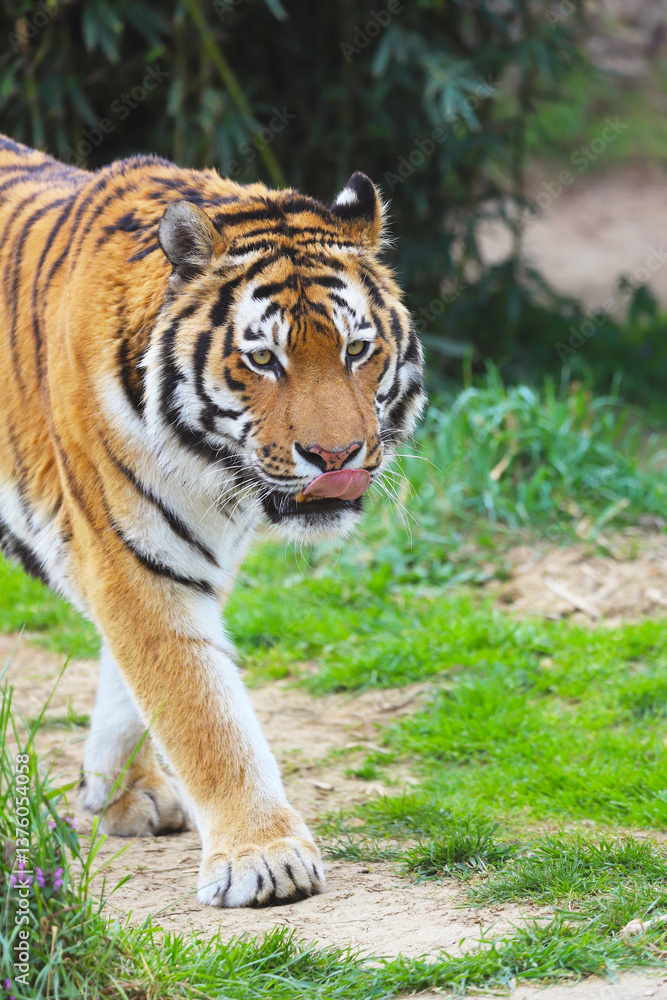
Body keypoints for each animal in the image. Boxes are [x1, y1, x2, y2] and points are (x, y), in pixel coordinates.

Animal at [0, 134, 425, 907]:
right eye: (263, 359)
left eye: (355, 349)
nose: (335, 456)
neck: (213, 472)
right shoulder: (129, 557)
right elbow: (200, 709)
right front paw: (264, 858)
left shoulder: (190, 555)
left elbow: (133, 687)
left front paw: (119, 794)